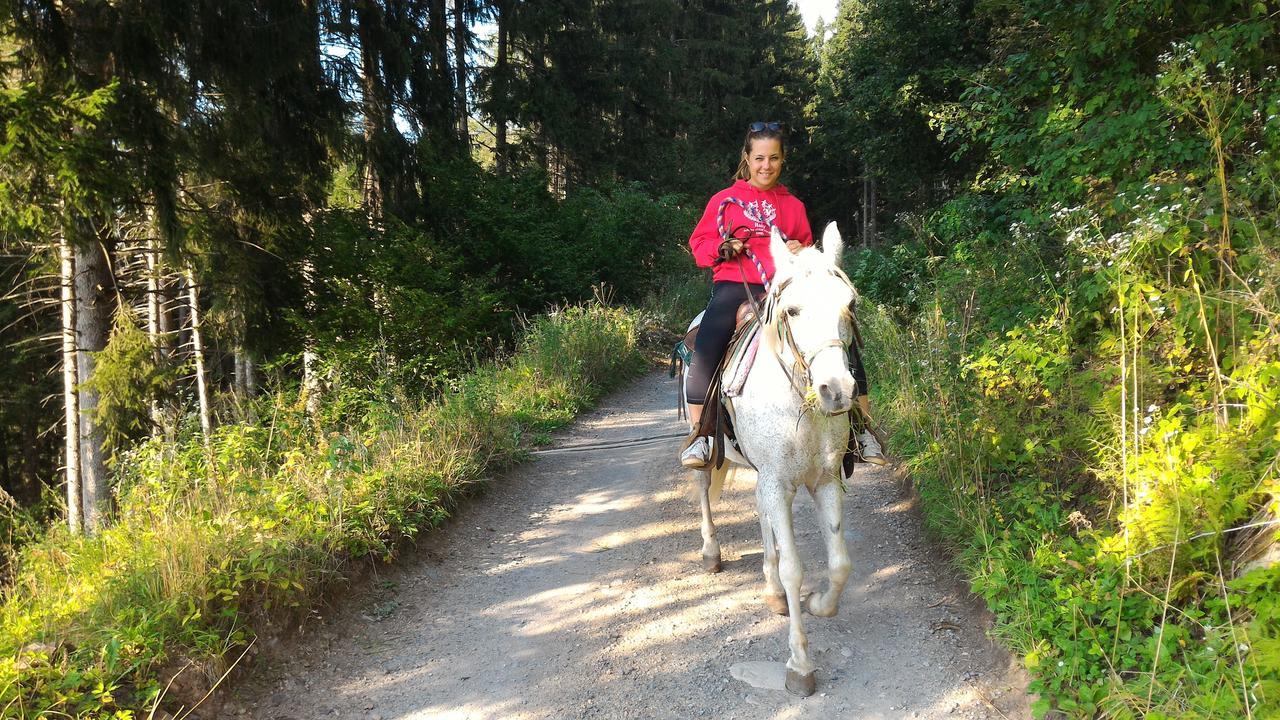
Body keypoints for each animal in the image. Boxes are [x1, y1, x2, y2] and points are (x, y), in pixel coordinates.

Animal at [686, 220, 855, 696]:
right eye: (793, 311)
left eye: (849, 303)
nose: (837, 391)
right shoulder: (779, 481)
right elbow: (795, 567)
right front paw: (800, 664)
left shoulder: (824, 481)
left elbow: (839, 562)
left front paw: (820, 603)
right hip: (715, 454)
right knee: (704, 489)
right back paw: (711, 552)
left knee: (762, 516)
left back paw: (772, 589)